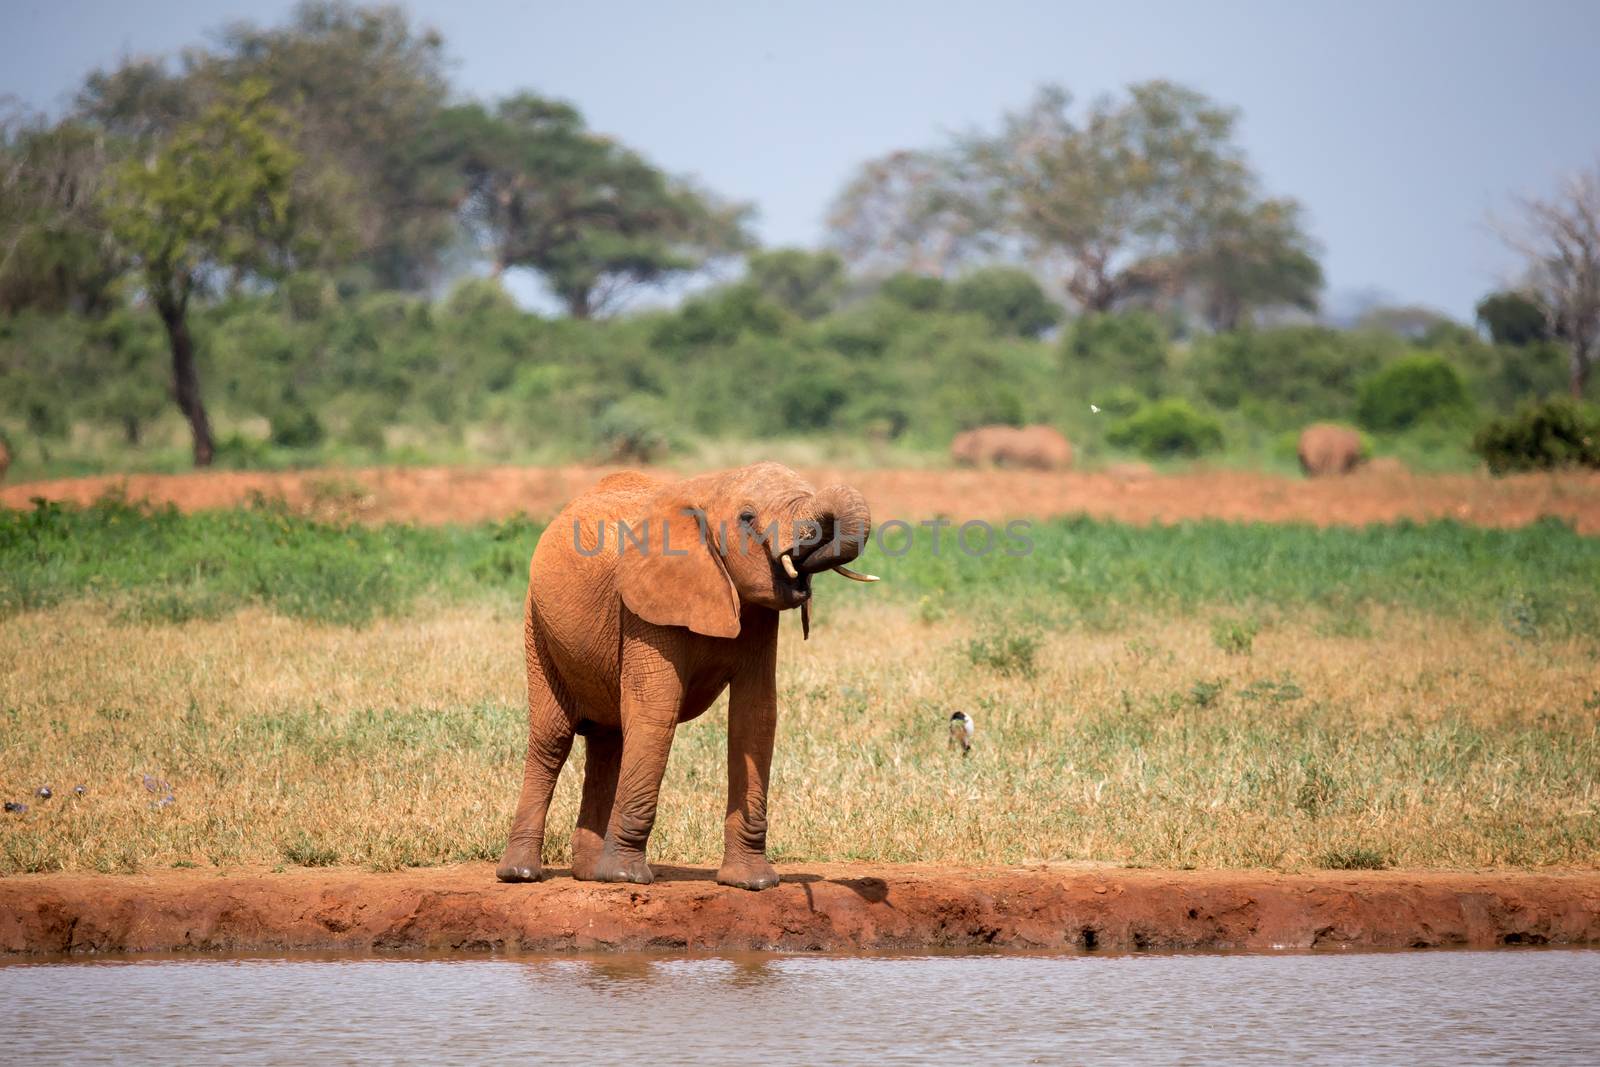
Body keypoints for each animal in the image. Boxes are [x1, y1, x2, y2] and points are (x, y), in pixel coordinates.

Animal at [496, 463, 876, 889]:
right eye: (747, 518)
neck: (714, 485)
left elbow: (755, 715)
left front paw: (753, 883)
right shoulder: (647, 607)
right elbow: (655, 711)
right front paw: (628, 877)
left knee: (608, 741)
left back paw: (592, 876)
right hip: (537, 625)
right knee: (553, 739)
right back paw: (521, 874)